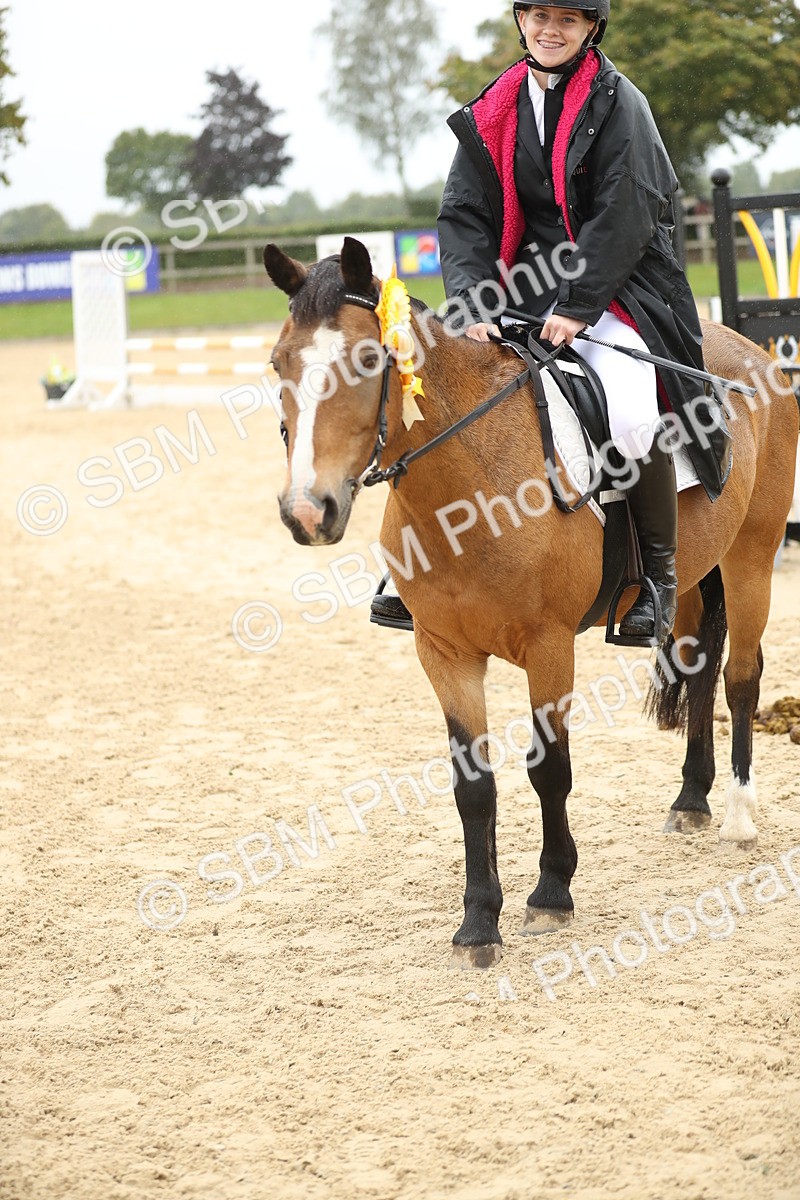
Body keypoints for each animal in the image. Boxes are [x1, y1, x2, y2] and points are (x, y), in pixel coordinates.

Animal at [263, 237, 799, 968]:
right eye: (278, 363)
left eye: (369, 361)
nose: (307, 512)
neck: (468, 486)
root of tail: (746, 350)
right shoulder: (444, 652)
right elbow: (473, 786)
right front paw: (477, 922)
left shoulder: (549, 646)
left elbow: (549, 770)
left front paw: (551, 893)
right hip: (694, 575)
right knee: (699, 666)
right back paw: (692, 799)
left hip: (752, 556)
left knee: (742, 675)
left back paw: (741, 815)